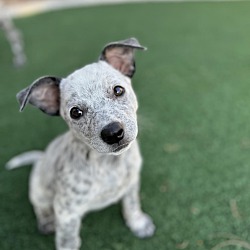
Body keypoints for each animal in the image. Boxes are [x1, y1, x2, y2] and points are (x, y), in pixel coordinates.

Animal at [6, 37, 155, 250]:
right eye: (75, 112)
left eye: (118, 90)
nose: (113, 133)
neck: (108, 164)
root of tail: (41, 158)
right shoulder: (66, 212)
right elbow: (67, 241)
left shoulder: (132, 183)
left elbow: (132, 204)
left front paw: (138, 224)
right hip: (38, 190)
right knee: (39, 206)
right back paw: (46, 221)